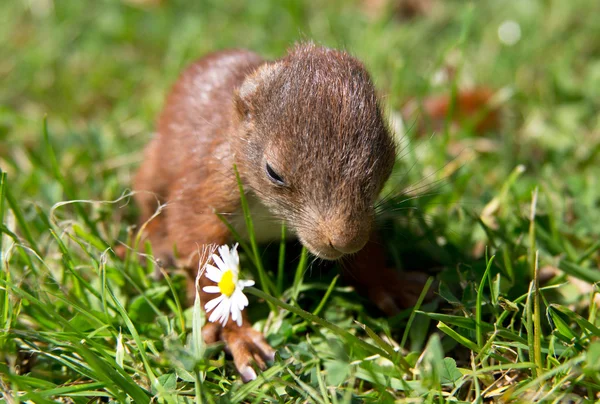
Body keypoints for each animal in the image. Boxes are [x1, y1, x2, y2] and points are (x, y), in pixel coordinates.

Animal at [132, 42, 422, 380]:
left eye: (387, 158)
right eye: (273, 172)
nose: (344, 240)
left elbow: (369, 251)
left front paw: (388, 282)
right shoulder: (207, 189)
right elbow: (200, 254)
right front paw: (236, 334)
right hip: (155, 167)